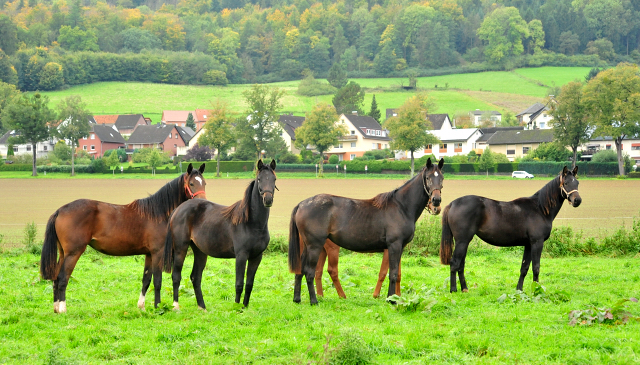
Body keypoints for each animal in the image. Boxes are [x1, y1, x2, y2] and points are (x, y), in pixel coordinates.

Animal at [40, 164, 205, 312]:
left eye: (204, 182)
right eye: (191, 183)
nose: (202, 201)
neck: (159, 213)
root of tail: (60, 210)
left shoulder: (149, 254)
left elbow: (146, 280)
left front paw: (142, 307)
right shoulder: (157, 253)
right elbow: (157, 281)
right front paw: (158, 307)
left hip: (63, 253)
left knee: (55, 278)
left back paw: (56, 308)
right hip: (73, 253)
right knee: (62, 278)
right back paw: (62, 309)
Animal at [162, 159, 276, 310]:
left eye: (274, 179)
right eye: (259, 179)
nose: (268, 200)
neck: (251, 222)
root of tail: (178, 209)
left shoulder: (256, 257)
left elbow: (249, 284)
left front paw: (244, 307)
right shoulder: (241, 256)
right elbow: (239, 284)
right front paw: (236, 308)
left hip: (200, 251)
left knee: (195, 277)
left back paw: (202, 307)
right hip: (181, 248)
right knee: (176, 275)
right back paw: (176, 306)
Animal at [290, 158, 444, 302]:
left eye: (441, 178)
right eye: (428, 177)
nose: (436, 201)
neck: (401, 206)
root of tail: (301, 204)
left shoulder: (401, 247)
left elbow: (396, 273)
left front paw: (394, 297)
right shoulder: (394, 246)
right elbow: (392, 273)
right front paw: (391, 299)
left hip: (308, 247)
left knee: (300, 271)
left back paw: (297, 299)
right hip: (315, 246)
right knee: (310, 272)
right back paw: (314, 301)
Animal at [442, 166, 584, 292]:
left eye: (577, 183)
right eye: (566, 183)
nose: (577, 200)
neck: (540, 209)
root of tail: (452, 204)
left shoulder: (528, 244)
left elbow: (524, 267)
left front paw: (519, 289)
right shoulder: (537, 243)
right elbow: (536, 267)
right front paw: (537, 290)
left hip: (465, 242)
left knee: (461, 265)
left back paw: (464, 289)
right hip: (462, 241)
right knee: (454, 263)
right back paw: (453, 289)